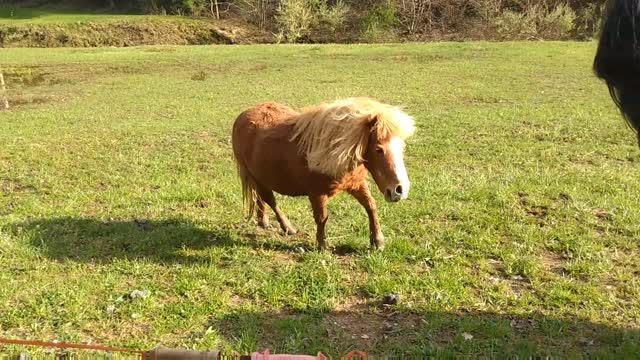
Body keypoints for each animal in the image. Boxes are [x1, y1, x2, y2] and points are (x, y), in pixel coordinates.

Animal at [232, 97, 418, 250]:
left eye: (401, 146)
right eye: (379, 149)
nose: (400, 190)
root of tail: (243, 116)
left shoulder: (357, 184)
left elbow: (371, 206)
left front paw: (377, 241)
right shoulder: (317, 194)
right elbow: (322, 218)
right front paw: (322, 245)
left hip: (260, 178)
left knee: (261, 199)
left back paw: (263, 221)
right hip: (256, 177)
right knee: (270, 200)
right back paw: (287, 227)